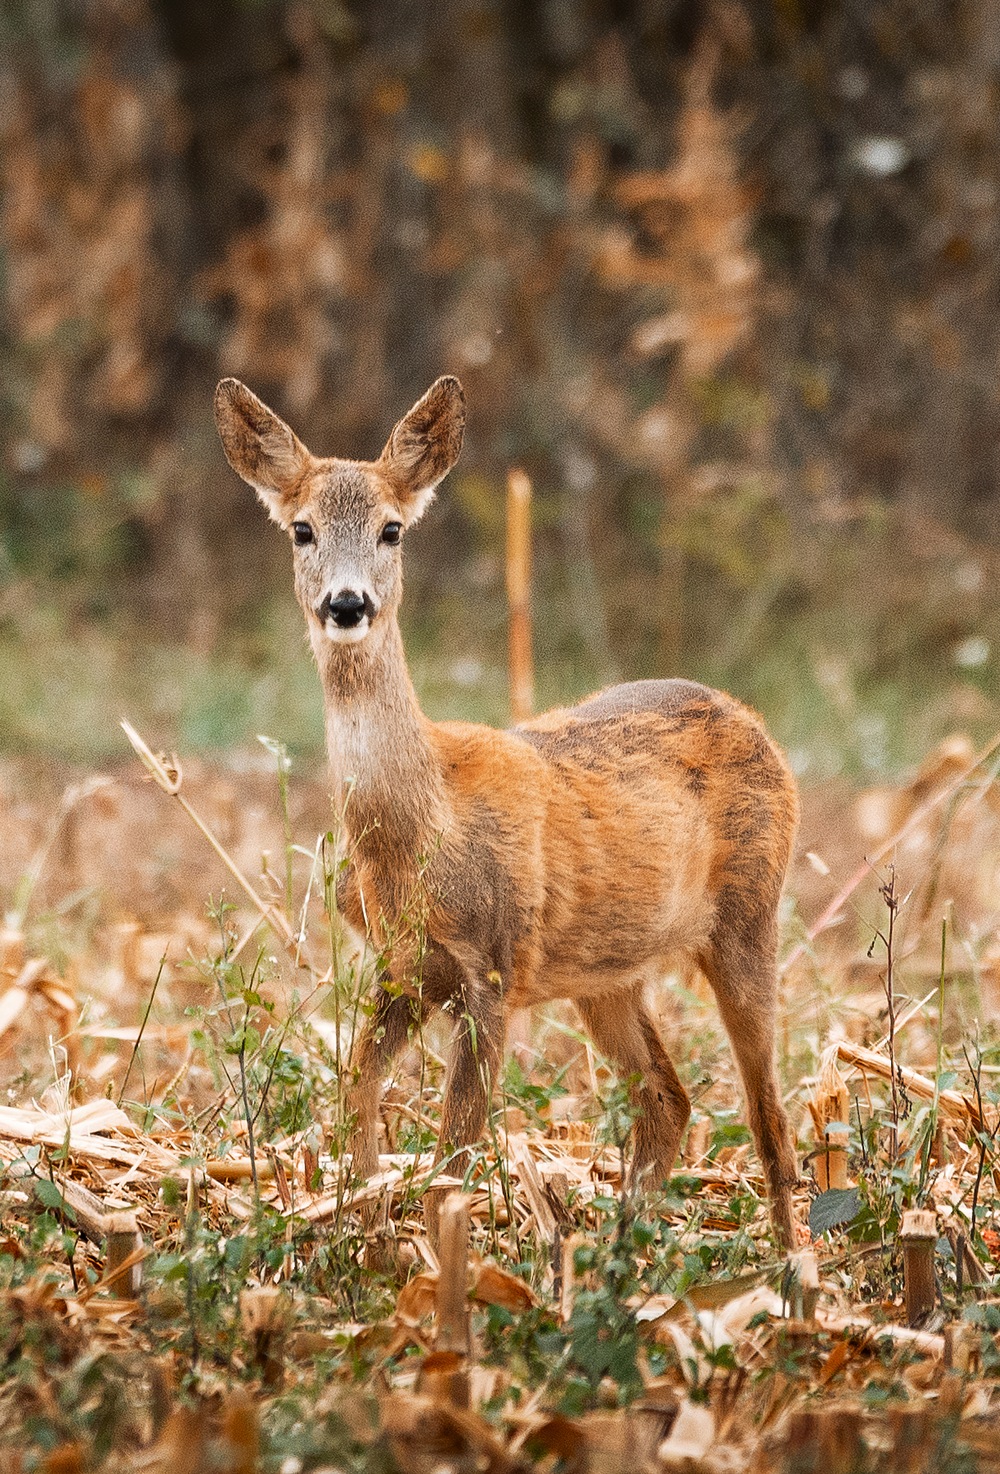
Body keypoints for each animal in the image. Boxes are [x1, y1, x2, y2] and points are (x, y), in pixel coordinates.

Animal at [215, 374, 802, 1249]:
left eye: (392, 528)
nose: (347, 604)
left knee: (770, 1120)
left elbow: (451, 1162)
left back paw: (794, 1270)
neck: (421, 834)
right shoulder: (402, 967)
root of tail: (752, 717)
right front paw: (367, 1234)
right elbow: (355, 1101)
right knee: (668, 1098)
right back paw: (618, 1250)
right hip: (607, 974)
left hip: (749, 914)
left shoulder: (491, 969)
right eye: (301, 529)